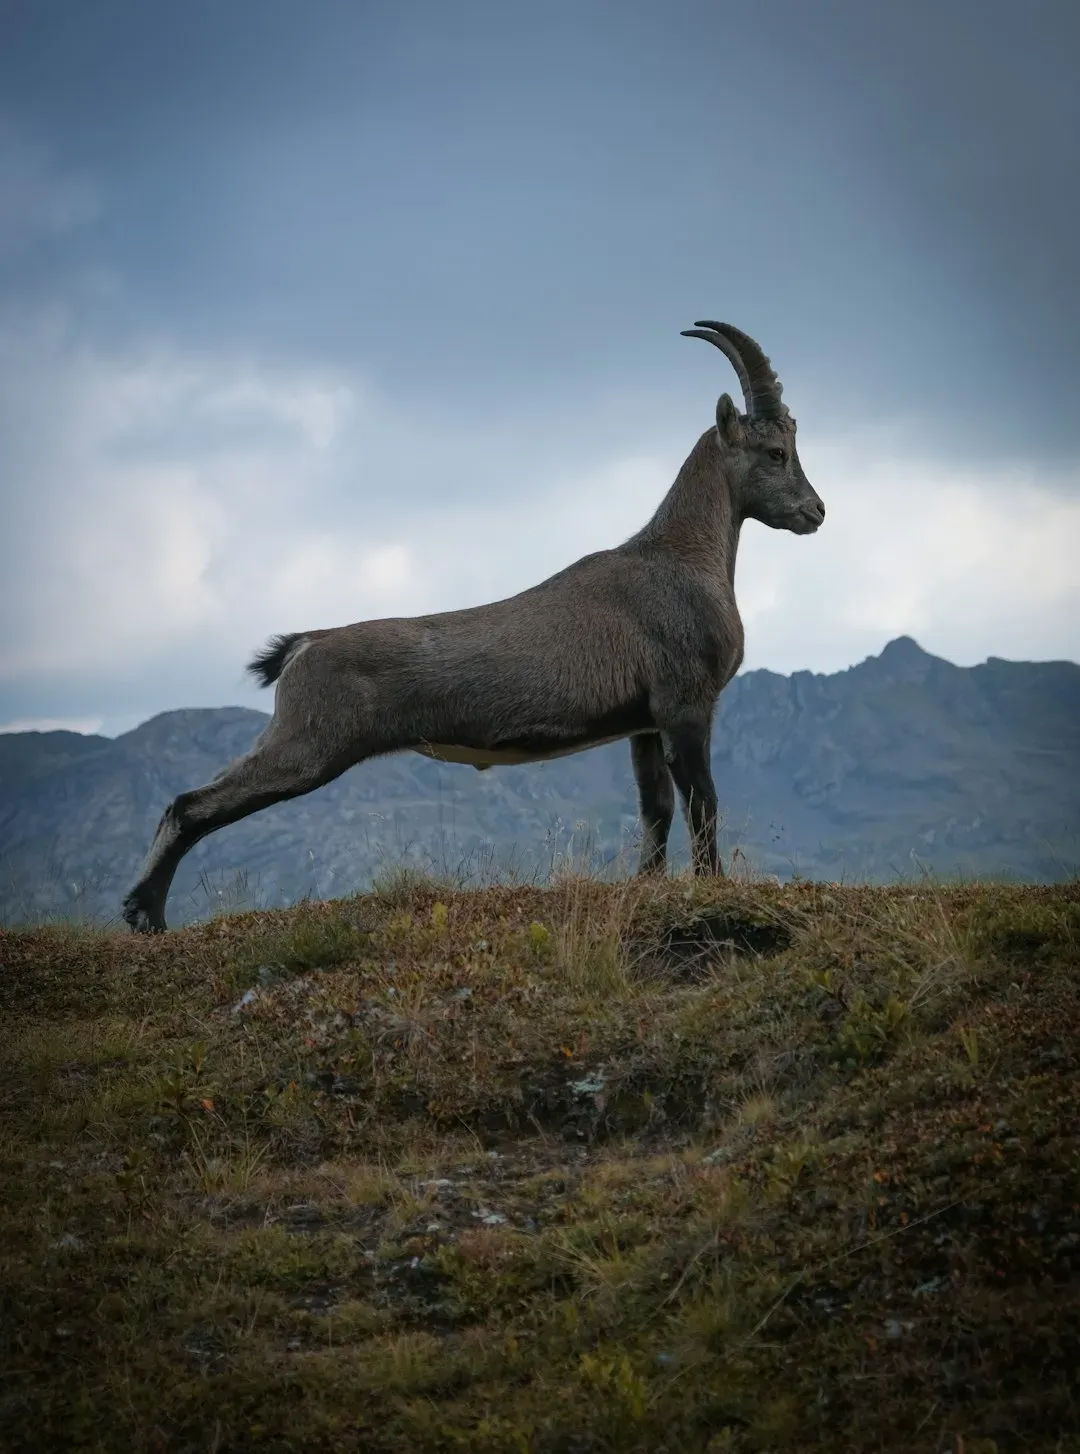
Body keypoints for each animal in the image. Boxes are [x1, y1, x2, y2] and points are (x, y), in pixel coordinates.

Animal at [123, 322, 825, 933]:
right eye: (776, 452)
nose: (815, 511)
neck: (682, 555)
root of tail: (303, 648)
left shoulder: (644, 722)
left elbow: (655, 809)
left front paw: (648, 886)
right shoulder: (685, 704)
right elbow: (702, 802)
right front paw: (712, 888)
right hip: (308, 745)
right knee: (189, 805)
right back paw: (145, 914)